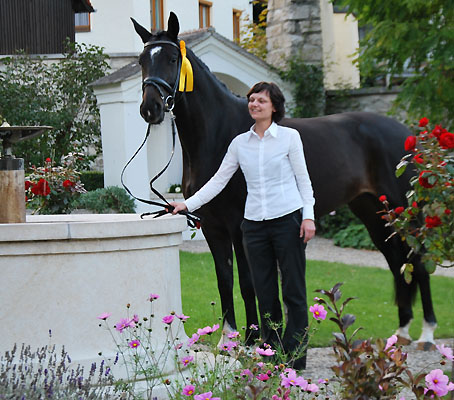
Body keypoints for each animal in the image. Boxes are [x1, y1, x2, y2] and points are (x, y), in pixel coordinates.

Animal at [131, 13, 436, 346]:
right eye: (141, 60)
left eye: (173, 59)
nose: (150, 108)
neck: (219, 133)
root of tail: (407, 135)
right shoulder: (211, 226)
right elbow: (224, 281)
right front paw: (227, 340)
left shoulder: (239, 225)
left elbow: (247, 283)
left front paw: (251, 340)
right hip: (374, 214)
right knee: (398, 265)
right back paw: (401, 332)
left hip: (405, 212)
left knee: (419, 264)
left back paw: (427, 334)